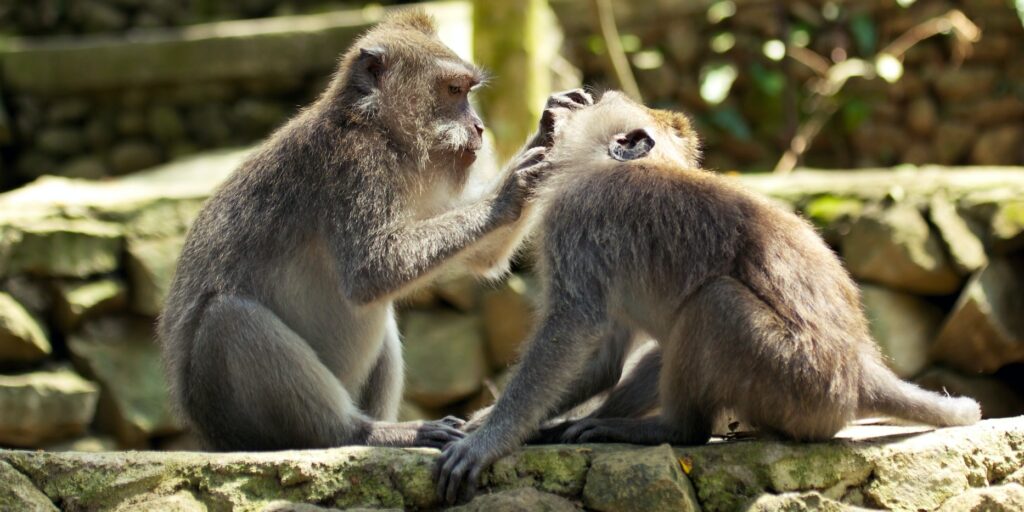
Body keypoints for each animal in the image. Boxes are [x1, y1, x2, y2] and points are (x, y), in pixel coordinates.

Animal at [157, 9, 592, 452]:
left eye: (467, 92)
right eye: (454, 90)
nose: (479, 127)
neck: (371, 125)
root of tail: (207, 436)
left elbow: (482, 255)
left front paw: (551, 127)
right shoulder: (356, 165)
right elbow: (375, 269)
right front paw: (509, 191)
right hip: (228, 414)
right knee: (228, 318)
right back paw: (361, 432)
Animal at [437, 90, 982, 503]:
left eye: (595, 101)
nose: (565, 102)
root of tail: (860, 370)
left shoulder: (579, 215)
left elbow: (573, 327)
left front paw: (489, 439)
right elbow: (603, 357)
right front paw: (496, 421)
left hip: (798, 381)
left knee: (713, 304)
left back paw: (670, 430)